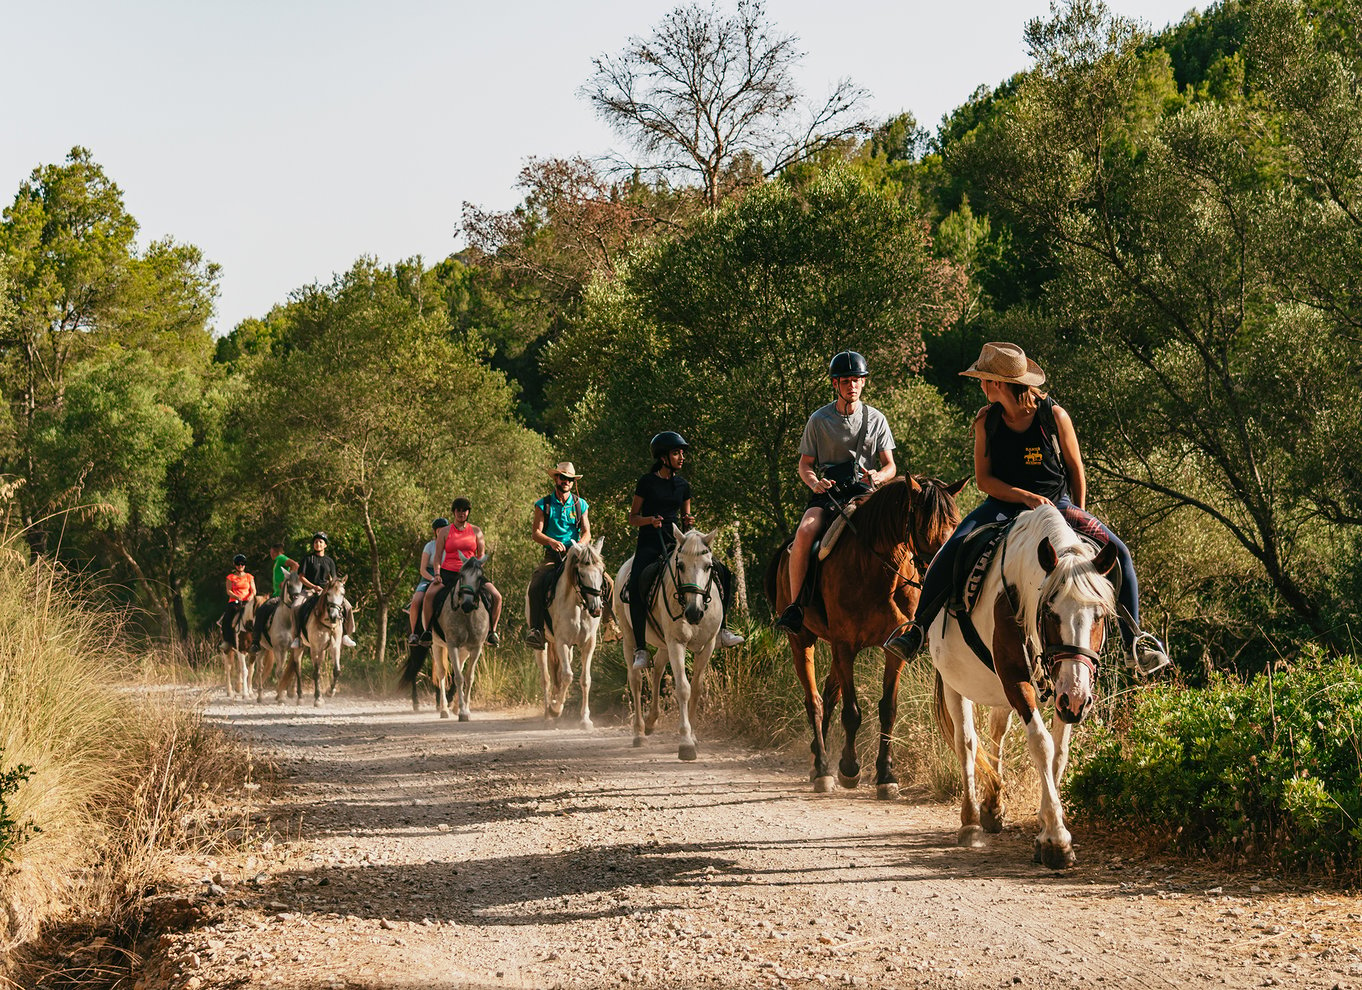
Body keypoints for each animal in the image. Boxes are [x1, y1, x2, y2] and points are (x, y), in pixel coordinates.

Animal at [430, 558, 490, 719]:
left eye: (480, 577)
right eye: (461, 575)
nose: (467, 604)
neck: (467, 616)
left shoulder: (476, 648)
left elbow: (469, 677)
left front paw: (465, 709)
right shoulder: (452, 645)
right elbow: (457, 677)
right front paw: (463, 711)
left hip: (464, 651)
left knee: (461, 669)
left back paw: (456, 707)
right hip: (437, 645)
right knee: (442, 673)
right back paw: (444, 709)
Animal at [525, 541, 607, 729]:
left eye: (601, 571)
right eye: (581, 573)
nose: (596, 609)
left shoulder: (588, 645)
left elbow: (585, 679)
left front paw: (585, 720)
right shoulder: (562, 642)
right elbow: (568, 676)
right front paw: (556, 710)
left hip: (568, 649)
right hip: (542, 645)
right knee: (546, 678)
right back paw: (548, 714)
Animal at [615, 525, 724, 757]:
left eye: (708, 566)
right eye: (680, 565)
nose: (694, 613)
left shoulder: (708, 646)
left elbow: (697, 688)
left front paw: (693, 736)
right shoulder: (676, 643)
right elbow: (683, 688)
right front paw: (686, 742)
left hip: (664, 644)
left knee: (657, 668)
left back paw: (651, 722)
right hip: (629, 637)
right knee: (636, 680)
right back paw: (639, 733)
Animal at [768, 473, 969, 795]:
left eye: (956, 523)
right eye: (925, 526)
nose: (944, 571)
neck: (875, 570)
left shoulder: (892, 649)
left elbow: (888, 709)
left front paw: (886, 775)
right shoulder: (845, 646)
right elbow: (852, 713)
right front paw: (849, 769)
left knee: (828, 696)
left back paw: (815, 761)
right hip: (802, 640)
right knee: (814, 701)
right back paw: (822, 768)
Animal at [926, 506, 1116, 871]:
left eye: (1099, 615)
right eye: (1050, 612)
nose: (1078, 699)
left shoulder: (1061, 692)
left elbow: (1059, 753)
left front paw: (1044, 830)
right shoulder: (1017, 680)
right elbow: (1041, 744)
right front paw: (1056, 839)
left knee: (996, 732)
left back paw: (992, 808)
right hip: (956, 683)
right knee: (966, 742)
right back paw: (971, 823)